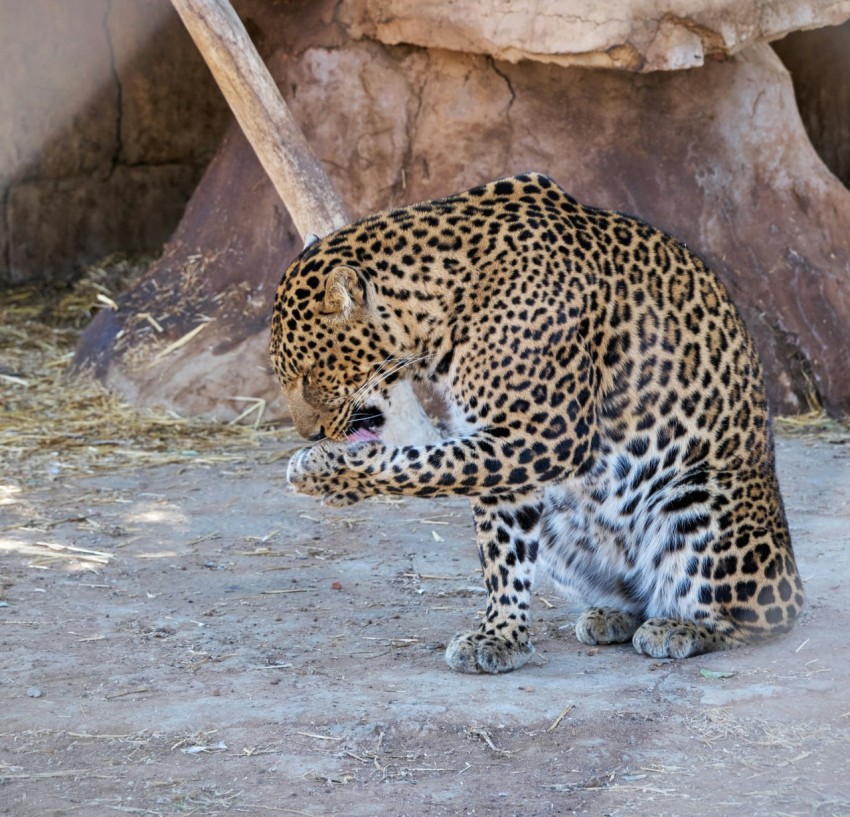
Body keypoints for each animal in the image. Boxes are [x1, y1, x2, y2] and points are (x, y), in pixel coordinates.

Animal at [268, 172, 804, 676]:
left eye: (308, 373)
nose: (309, 434)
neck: (439, 309)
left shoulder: (544, 436)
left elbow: (418, 467)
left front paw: (324, 473)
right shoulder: (503, 449)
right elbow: (499, 548)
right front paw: (500, 635)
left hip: (697, 498)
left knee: (760, 617)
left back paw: (680, 628)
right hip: (564, 523)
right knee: (637, 591)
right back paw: (614, 614)